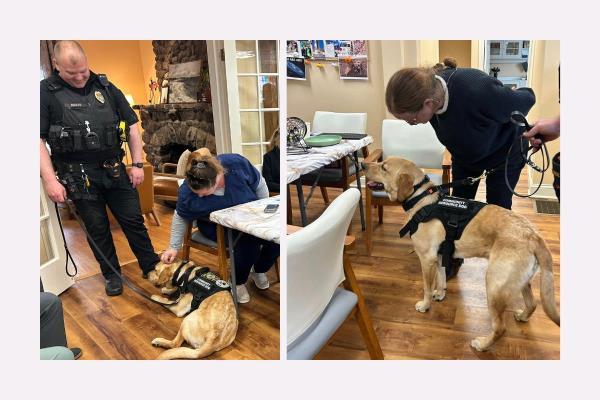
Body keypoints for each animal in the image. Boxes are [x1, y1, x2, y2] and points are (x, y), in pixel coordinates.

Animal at [364, 156, 560, 350]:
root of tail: (534, 236)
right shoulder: (439, 256)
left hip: (494, 285)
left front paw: (425, 305)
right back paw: (523, 316)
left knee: (500, 328)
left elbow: (427, 287)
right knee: (533, 304)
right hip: (520, 281)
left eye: (383, 167)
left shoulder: (426, 259)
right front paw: (440, 294)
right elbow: (441, 278)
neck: (420, 198)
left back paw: (482, 344)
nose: (362, 164)